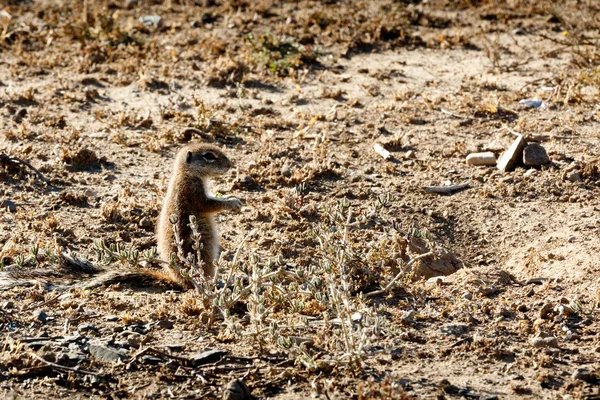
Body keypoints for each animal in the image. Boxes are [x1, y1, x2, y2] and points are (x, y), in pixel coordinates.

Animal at [0, 144, 241, 290]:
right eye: (209, 156)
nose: (230, 164)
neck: (186, 175)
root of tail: (175, 279)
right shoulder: (193, 195)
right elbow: (210, 204)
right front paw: (233, 201)